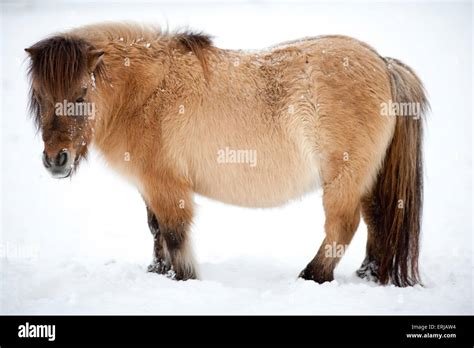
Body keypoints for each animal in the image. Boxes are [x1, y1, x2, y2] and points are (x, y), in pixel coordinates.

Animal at [25, 23, 430, 286]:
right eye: (40, 96)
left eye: (81, 94)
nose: (55, 160)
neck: (146, 93)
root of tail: (383, 63)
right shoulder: (149, 186)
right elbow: (156, 230)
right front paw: (158, 273)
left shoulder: (165, 185)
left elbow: (174, 232)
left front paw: (184, 278)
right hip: (367, 180)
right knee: (376, 222)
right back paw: (367, 274)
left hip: (343, 179)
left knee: (342, 227)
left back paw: (312, 276)